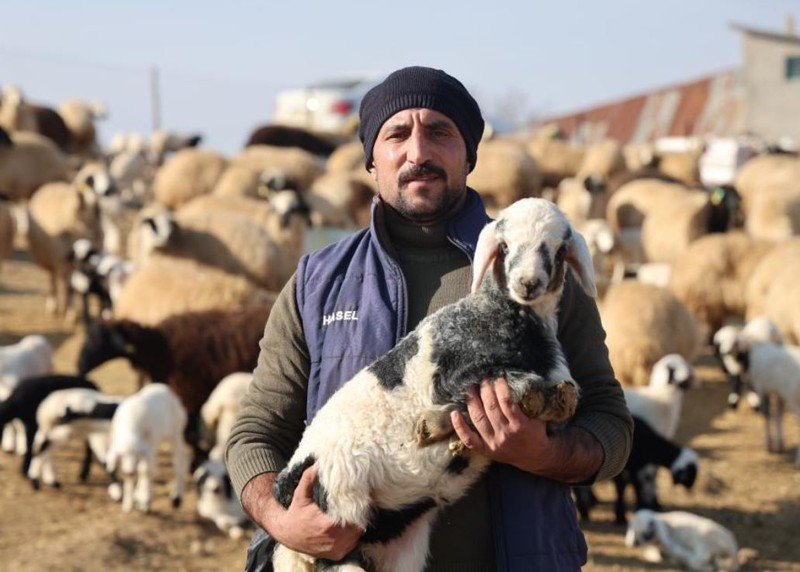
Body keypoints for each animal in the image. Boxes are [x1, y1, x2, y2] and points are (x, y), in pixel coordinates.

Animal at [78, 304, 272, 460]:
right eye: (88, 336)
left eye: (99, 339)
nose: (80, 365)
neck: (160, 347)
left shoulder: (189, 395)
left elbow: (190, 435)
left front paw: (200, 458)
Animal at [104, 384, 191, 512]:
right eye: (122, 455)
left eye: (135, 454)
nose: (130, 472)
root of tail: (164, 387)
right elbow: (133, 475)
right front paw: (128, 504)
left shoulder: (148, 445)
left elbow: (144, 470)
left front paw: (145, 499)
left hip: (176, 432)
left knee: (179, 461)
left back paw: (176, 497)